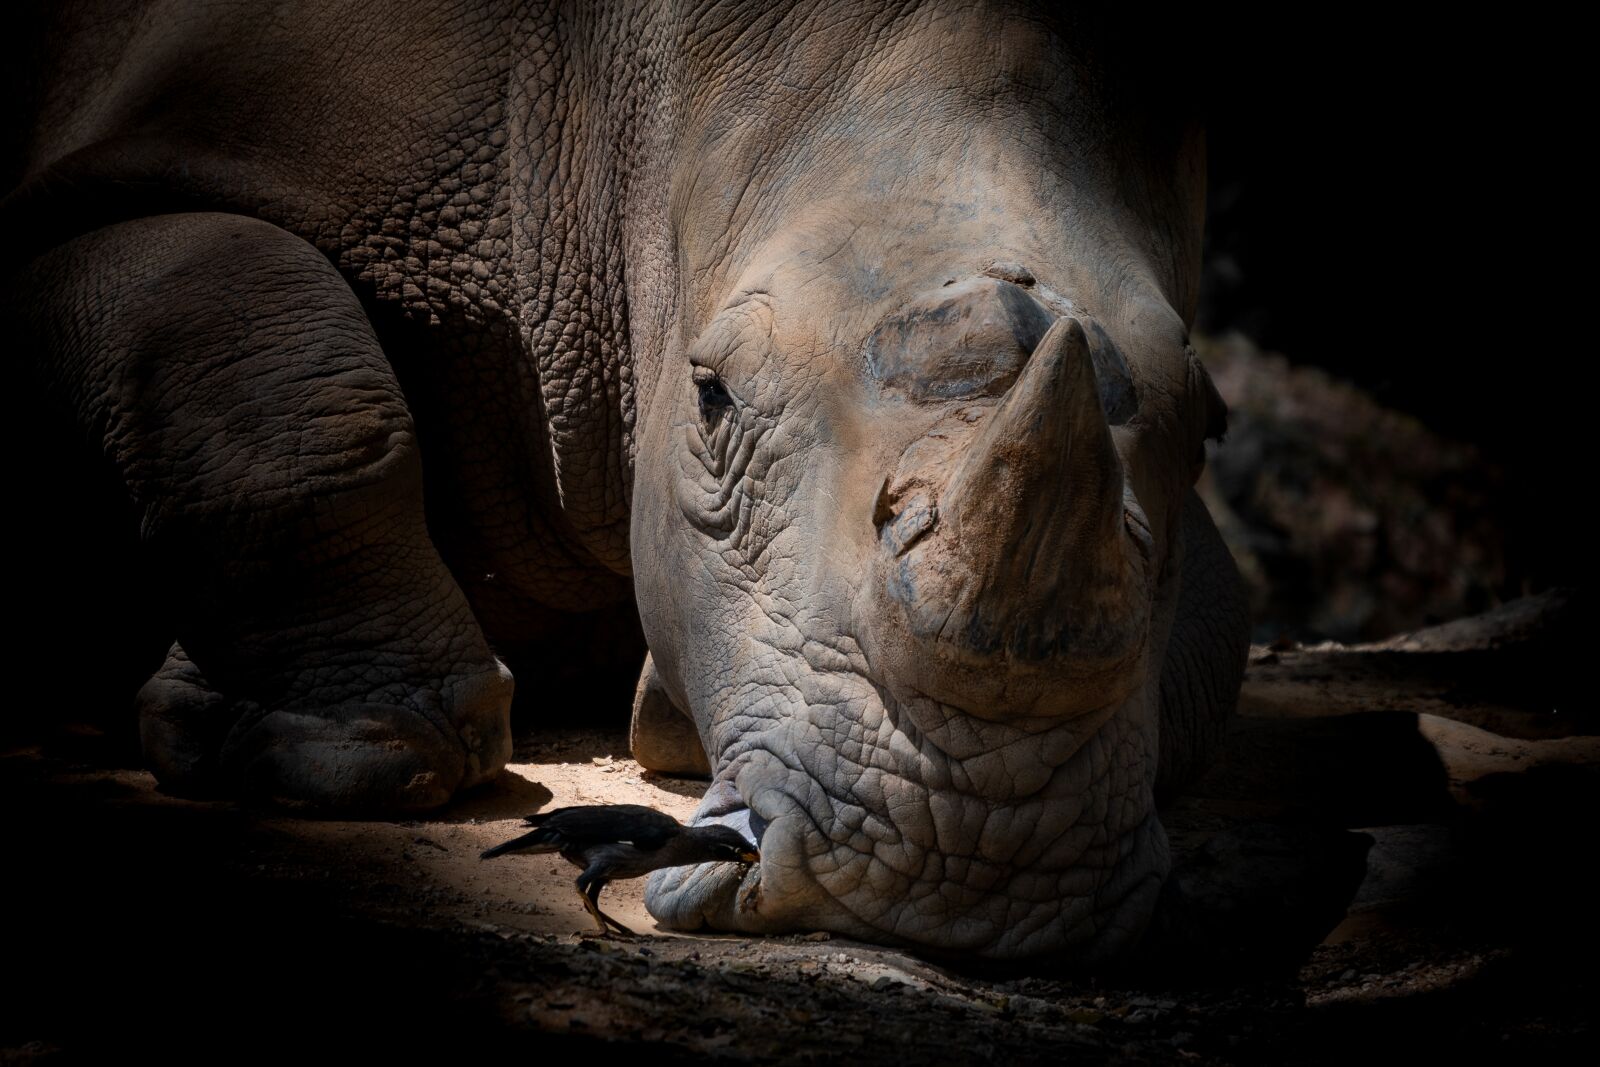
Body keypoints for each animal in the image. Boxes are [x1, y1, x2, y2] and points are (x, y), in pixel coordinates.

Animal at [9, 2, 1250, 961]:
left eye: (1214, 425)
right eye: (711, 398)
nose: (969, 860)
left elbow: (1210, 633)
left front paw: (656, 701)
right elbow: (240, 305)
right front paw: (326, 756)